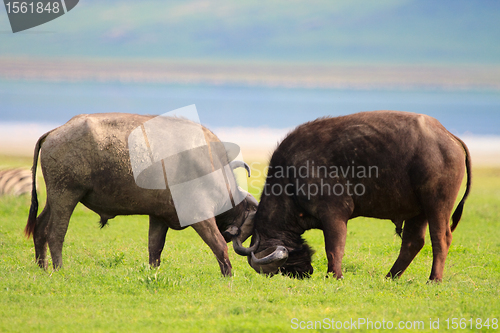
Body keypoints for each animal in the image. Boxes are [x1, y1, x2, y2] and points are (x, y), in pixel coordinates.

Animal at [24, 113, 258, 274]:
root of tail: (55, 131)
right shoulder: (201, 217)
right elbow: (218, 246)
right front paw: (229, 276)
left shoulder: (158, 217)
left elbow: (155, 249)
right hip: (66, 195)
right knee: (55, 234)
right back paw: (59, 269)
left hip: (54, 198)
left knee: (40, 228)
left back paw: (42, 268)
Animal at [232, 111, 470, 280]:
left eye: (280, 267)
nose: (301, 274)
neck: (291, 178)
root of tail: (449, 136)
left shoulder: (334, 214)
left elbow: (334, 248)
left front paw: (333, 276)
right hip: (417, 212)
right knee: (413, 243)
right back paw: (390, 277)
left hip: (436, 205)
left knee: (441, 239)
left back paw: (434, 279)